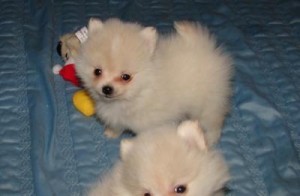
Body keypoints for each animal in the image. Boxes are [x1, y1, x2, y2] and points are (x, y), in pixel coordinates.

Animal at [77, 18, 232, 145]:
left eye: (126, 76)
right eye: (97, 71)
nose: (107, 88)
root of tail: (204, 47)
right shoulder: (117, 116)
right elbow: (117, 125)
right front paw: (112, 133)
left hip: (208, 102)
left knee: (213, 120)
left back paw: (211, 138)